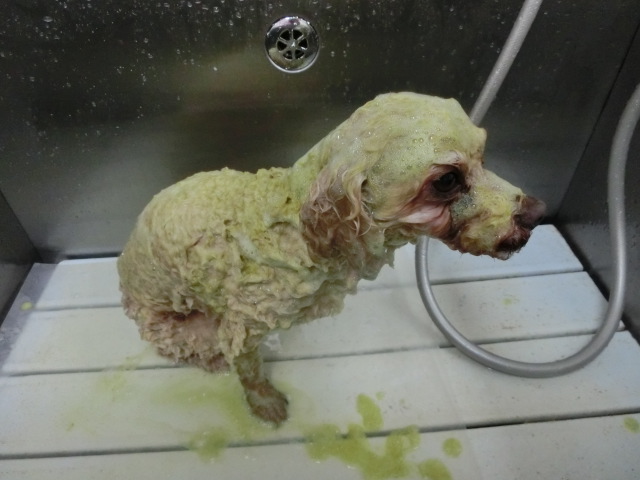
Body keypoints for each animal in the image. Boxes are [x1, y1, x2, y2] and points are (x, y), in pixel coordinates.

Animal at [117, 92, 545, 425]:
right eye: (446, 180)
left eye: (483, 157)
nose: (537, 213)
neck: (296, 229)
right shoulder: (244, 324)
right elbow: (249, 368)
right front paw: (265, 402)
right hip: (188, 329)